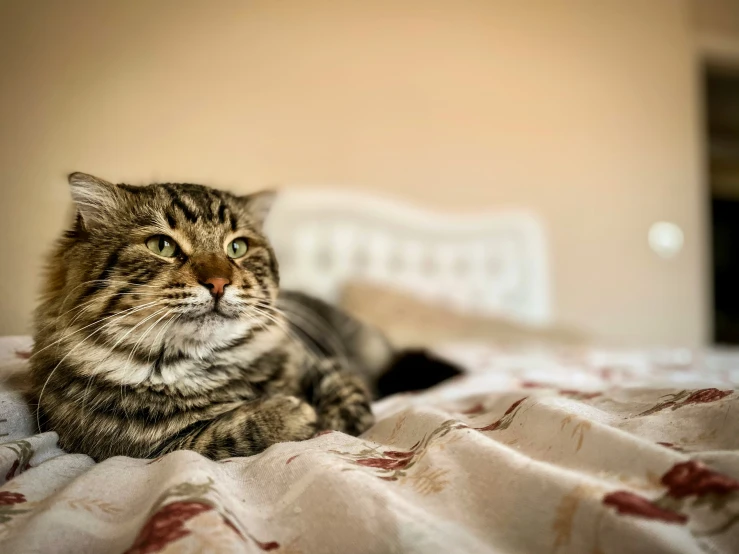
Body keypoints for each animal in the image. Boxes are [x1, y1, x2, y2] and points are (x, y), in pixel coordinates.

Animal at [31, 172, 462, 462]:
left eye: (237, 247)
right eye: (162, 246)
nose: (219, 282)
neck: (207, 365)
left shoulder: (320, 362)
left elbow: (349, 396)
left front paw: (334, 420)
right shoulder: (150, 448)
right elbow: (225, 431)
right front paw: (292, 413)